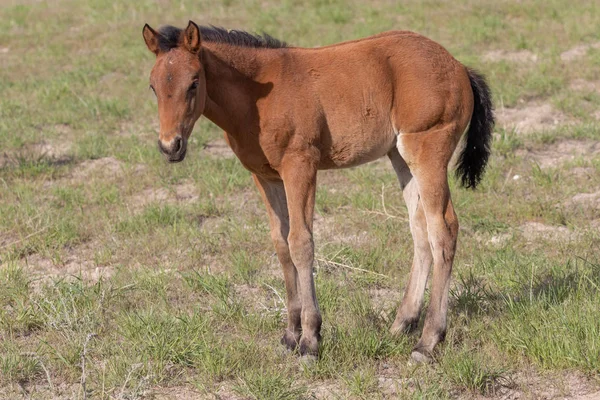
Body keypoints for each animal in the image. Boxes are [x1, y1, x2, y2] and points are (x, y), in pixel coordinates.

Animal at [143, 21, 494, 362]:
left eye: (194, 82)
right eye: (153, 86)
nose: (170, 146)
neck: (257, 96)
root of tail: (458, 66)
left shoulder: (300, 166)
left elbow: (301, 243)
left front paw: (310, 340)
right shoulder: (265, 177)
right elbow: (281, 244)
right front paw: (290, 335)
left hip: (427, 150)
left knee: (443, 229)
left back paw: (428, 341)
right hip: (400, 157)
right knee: (420, 229)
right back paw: (401, 324)